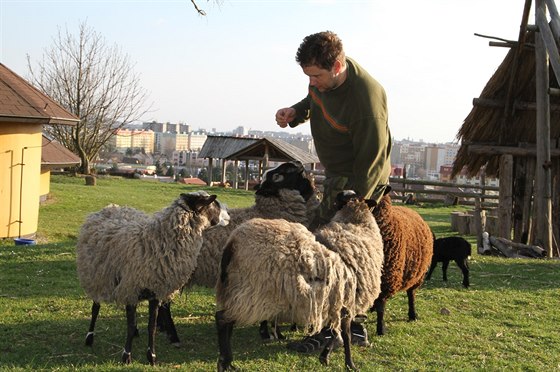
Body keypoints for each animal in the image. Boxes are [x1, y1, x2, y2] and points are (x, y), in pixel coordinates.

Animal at [76, 192, 230, 366]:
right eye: (213, 203)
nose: (228, 214)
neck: (156, 241)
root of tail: (110, 207)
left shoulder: (155, 291)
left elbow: (151, 326)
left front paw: (152, 356)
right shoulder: (131, 288)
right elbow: (130, 325)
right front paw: (126, 355)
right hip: (97, 276)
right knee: (95, 308)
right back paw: (89, 337)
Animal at [215, 192, 384, 372]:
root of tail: (232, 243)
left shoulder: (336, 301)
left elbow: (335, 332)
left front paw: (325, 356)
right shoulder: (347, 300)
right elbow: (345, 334)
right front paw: (349, 363)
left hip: (237, 288)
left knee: (227, 320)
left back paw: (227, 361)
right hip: (251, 292)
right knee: (222, 319)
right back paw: (225, 362)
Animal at [372, 192, 434, 338]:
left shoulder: (385, 280)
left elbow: (381, 307)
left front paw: (381, 330)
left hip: (418, 276)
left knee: (411, 294)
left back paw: (412, 315)